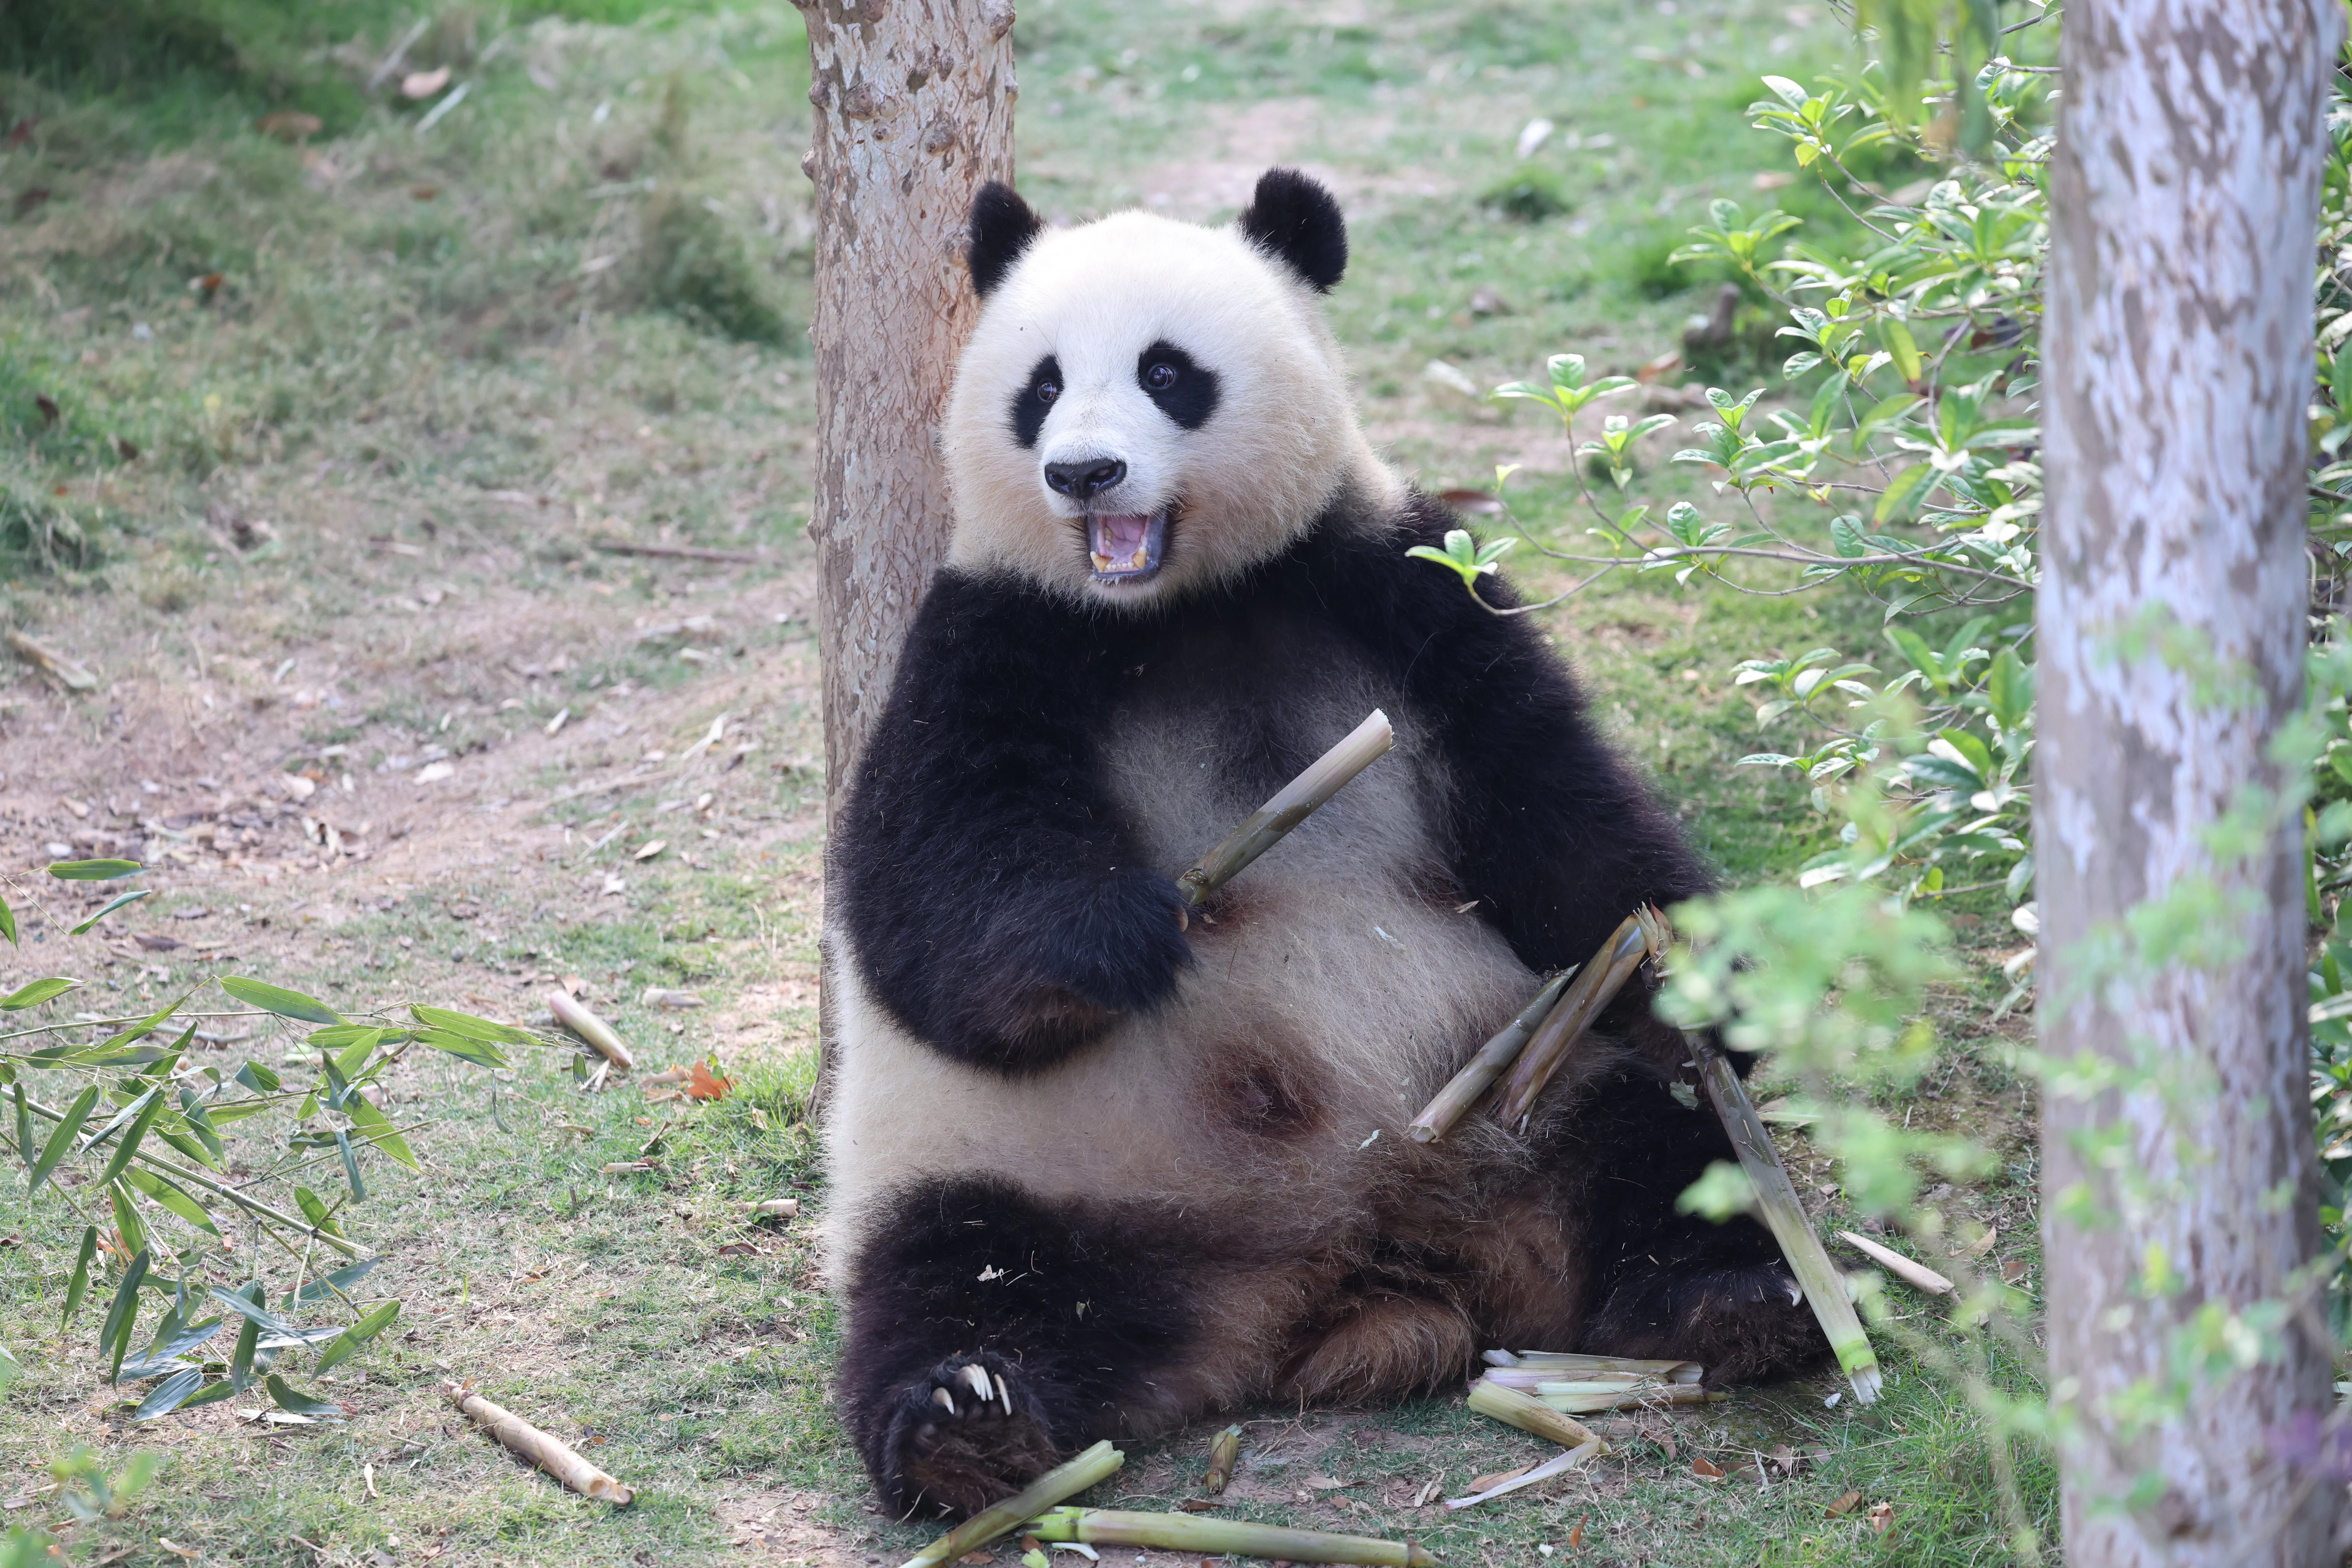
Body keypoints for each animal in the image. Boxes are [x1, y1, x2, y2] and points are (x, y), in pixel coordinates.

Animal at [824, 168, 1824, 1519]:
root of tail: (1353, 1267)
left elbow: (1557, 808)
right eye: (1038, 383)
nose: (1082, 472)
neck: (1187, 607)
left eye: (1166, 371)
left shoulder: (1400, 589)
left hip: (1535, 1094)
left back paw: (1743, 1299)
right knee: (961, 1273)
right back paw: (963, 1422)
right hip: (1030, 1167)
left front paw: (1695, 977)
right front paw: (1119, 934)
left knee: (1668, 1159)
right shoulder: (991, 641)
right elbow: (923, 911)